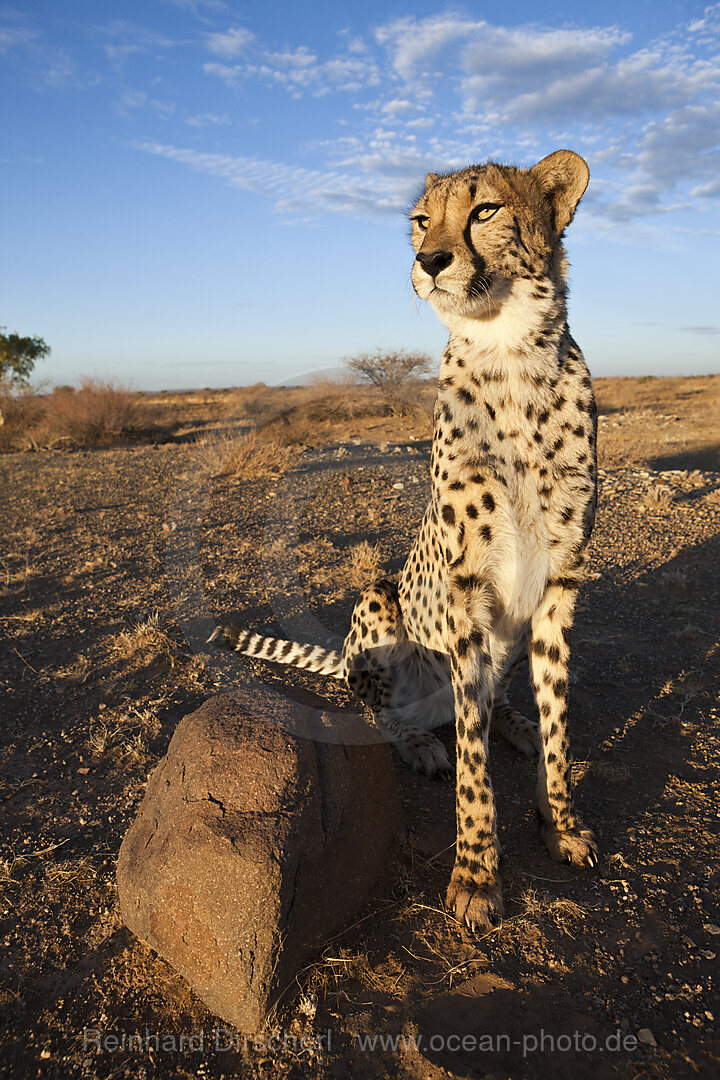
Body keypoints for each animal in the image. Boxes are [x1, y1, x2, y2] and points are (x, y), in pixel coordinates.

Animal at [211, 150, 600, 928]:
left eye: (486, 210)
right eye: (422, 220)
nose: (429, 260)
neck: (512, 353)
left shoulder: (559, 584)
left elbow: (559, 715)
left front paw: (561, 821)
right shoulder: (466, 591)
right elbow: (474, 766)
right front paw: (477, 873)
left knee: (495, 703)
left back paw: (513, 723)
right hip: (379, 601)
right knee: (384, 710)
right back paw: (422, 739)